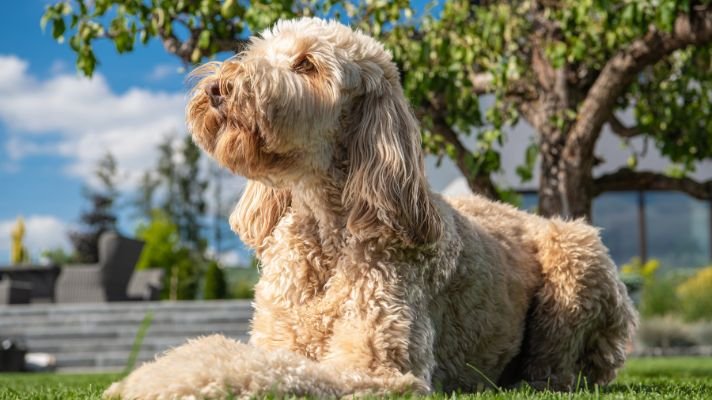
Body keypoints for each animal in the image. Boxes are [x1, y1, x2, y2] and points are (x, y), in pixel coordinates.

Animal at [103, 17, 636, 398]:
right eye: (256, 53)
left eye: (306, 65)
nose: (218, 88)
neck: (325, 228)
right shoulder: (281, 336)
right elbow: (256, 355)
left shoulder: (377, 366)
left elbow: (257, 368)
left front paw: (159, 381)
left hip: (578, 250)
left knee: (561, 367)